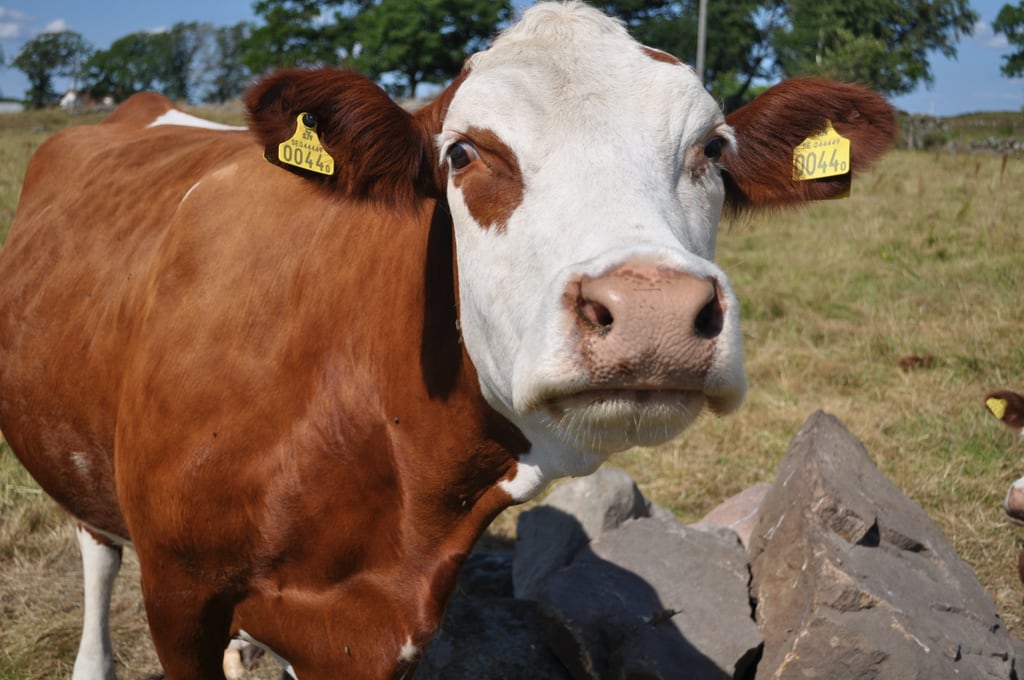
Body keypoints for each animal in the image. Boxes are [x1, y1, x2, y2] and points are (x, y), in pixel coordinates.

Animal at [0, 3, 897, 678]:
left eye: (711, 149)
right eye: (464, 153)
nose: (652, 311)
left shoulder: (375, 627)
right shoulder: (181, 596)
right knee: (97, 559)